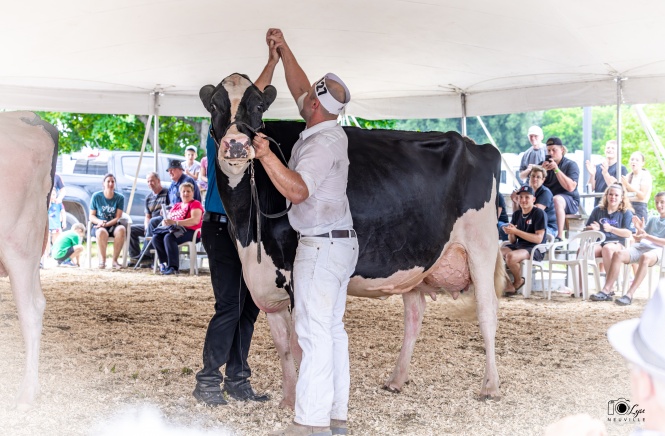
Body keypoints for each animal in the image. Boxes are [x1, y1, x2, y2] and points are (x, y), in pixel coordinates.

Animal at [200, 73, 506, 408]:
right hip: (416, 262)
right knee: (414, 314)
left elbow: (299, 343)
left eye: (257, 106)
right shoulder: (266, 280)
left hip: (482, 245)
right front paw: (288, 400)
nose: (236, 144)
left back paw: (490, 386)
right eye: (214, 106)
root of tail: (475, 145)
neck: (248, 229)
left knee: (487, 311)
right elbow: (282, 345)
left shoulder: (295, 276)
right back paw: (396, 380)